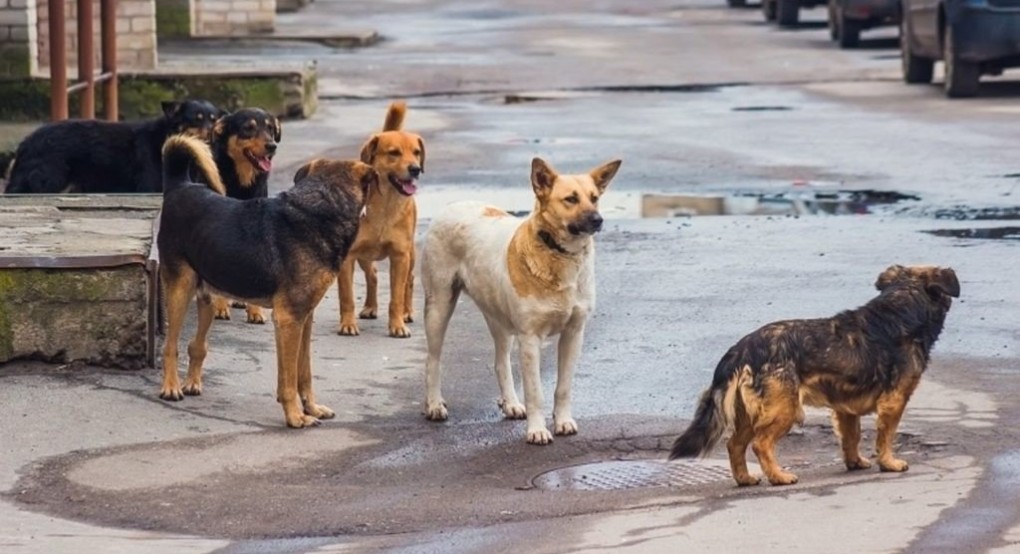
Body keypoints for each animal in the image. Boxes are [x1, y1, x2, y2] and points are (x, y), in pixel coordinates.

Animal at [3, 100, 220, 194]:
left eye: (214, 119)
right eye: (196, 119)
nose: (212, 133)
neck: (166, 136)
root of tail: (26, 143)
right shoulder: (150, 187)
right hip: (49, 181)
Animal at [161, 134, 377, 428]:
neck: (323, 205)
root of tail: (179, 185)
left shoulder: (304, 318)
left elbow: (303, 373)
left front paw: (311, 408)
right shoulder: (289, 319)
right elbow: (288, 379)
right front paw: (295, 416)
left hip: (207, 296)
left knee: (197, 345)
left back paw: (192, 382)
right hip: (180, 290)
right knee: (170, 345)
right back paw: (170, 387)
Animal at [206, 107, 283, 324]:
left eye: (270, 128)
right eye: (248, 128)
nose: (272, 146)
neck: (242, 183)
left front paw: (255, 311)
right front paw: (220, 307)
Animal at [420, 156, 620, 446]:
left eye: (594, 198)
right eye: (570, 199)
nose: (598, 220)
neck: (558, 254)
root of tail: (453, 205)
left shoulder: (574, 334)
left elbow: (563, 387)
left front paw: (563, 421)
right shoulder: (530, 339)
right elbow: (535, 392)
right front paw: (537, 430)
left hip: (499, 318)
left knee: (500, 362)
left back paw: (511, 403)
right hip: (439, 307)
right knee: (433, 360)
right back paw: (434, 404)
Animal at [669, 267, 954, 487]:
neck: (901, 306)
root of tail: (742, 349)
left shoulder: (845, 409)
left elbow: (851, 437)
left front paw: (855, 462)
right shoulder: (894, 402)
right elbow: (885, 437)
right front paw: (889, 463)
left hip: (750, 413)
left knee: (734, 445)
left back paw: (745, 479)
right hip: (785, 409)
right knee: (760, 444)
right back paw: (779, 477)